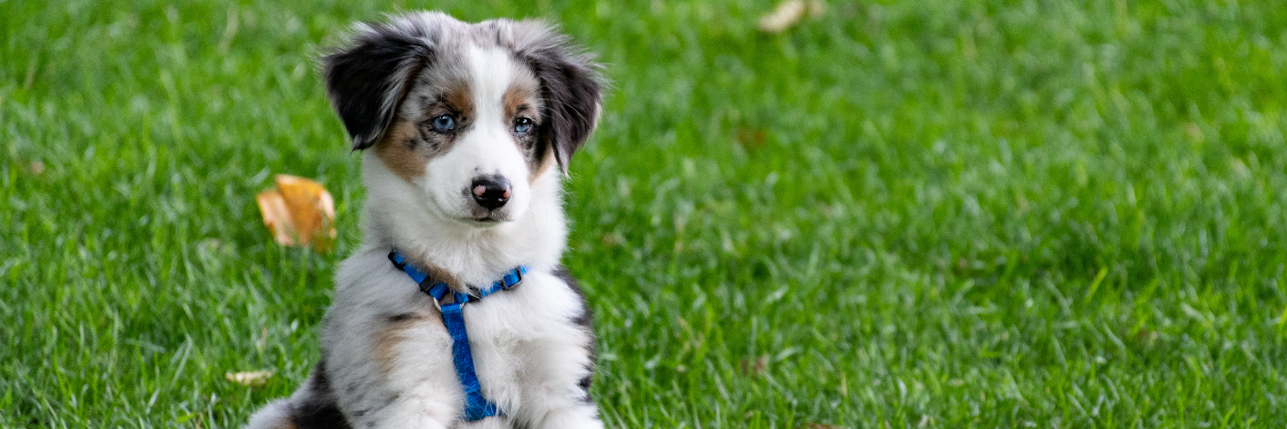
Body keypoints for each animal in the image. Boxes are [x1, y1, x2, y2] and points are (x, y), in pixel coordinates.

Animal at [247, 12, 607, 427]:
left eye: (523, 124)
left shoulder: (559, 384)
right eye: (444, 121)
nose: (493, 190)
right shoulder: (408, 383)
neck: (474, 284)